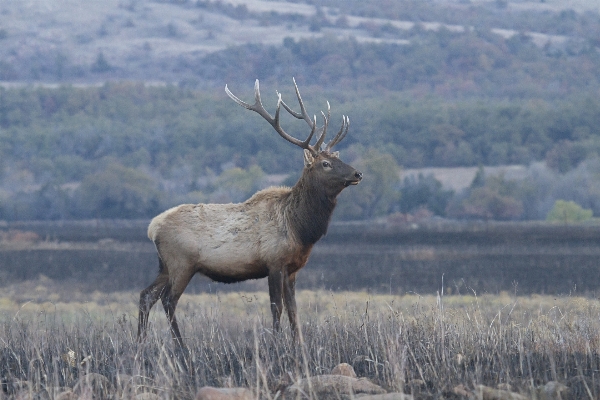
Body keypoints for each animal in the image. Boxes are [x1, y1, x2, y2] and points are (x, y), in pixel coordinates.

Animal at [137, 79, 360, 346]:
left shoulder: (292, 268)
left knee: (146, 295)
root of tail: (153, 228)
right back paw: (182, 348)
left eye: (338, 158)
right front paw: (276, 345)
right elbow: (277, 308)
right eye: (325, 164)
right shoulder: (273, 262)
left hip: (164, 265)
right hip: (181, 262)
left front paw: (299, 346)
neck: (299, 229)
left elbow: (294, 310)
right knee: (168, 300)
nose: (357, 173)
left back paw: (140, 345)